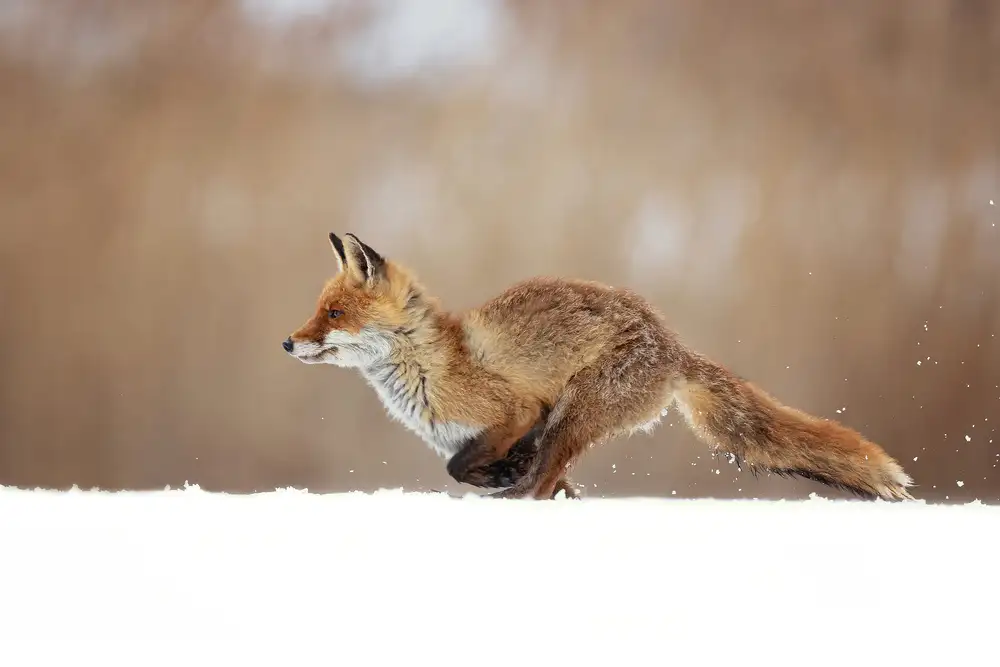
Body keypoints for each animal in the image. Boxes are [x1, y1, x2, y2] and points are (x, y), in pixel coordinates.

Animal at [283, 232, 915, 501]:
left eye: (334, 313)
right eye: (318, 309)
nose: (288, 343)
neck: (428, 366)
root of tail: (672, 343)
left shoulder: (519, 411)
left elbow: (460, 467)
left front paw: (496, 480)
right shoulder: (503, 432)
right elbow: (478, 466)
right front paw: (502, 476)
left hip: (573, 413)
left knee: (542, 483)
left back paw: (515, 497)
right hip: (571, 422)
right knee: (550, 479)